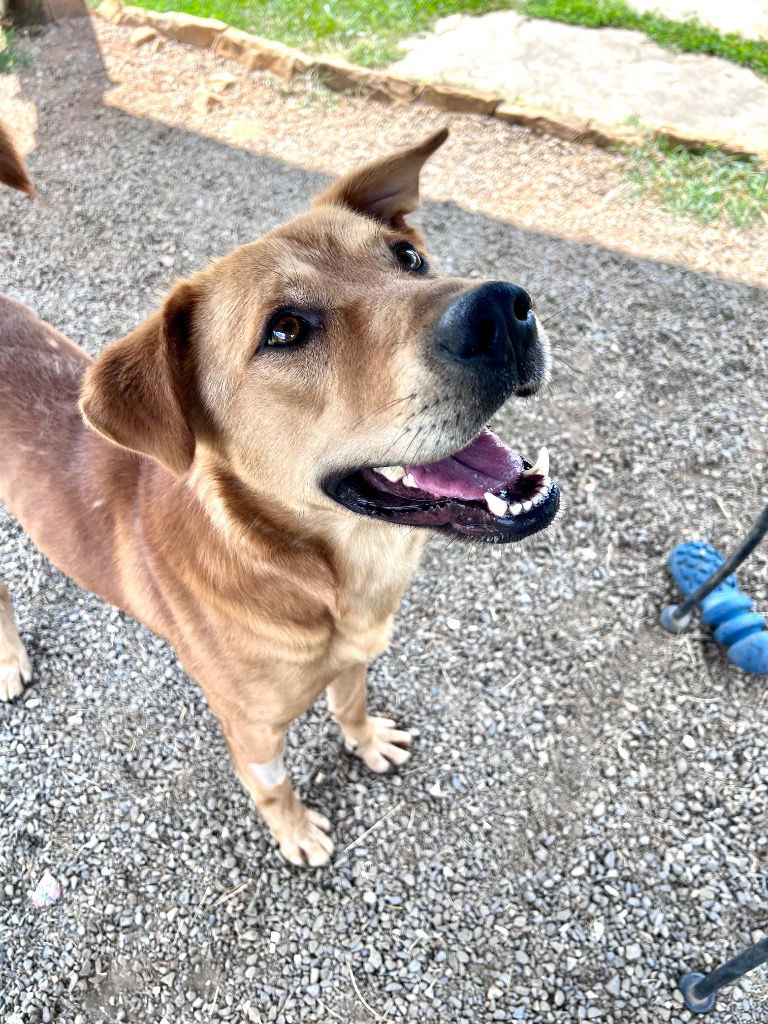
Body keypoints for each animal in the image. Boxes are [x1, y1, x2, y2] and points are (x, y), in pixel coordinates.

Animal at [0, 130, 561, 864]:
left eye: (407, 257)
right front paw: (295, 832)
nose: (503, 307)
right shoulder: (252, 729)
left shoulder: (356, 658)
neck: (318, 576)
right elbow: (273, 787)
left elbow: (350, 705)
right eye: (285, 329)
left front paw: (367, 742)